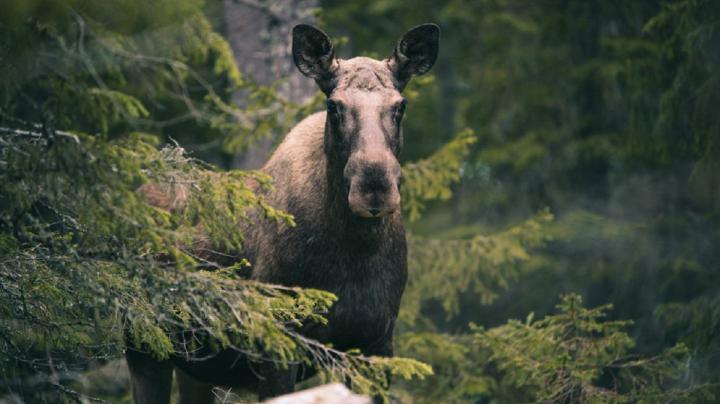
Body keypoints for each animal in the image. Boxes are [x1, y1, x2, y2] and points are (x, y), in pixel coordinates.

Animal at [125, 23, 440, 403]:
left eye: (400, 106)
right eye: (333, 106)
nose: (374, 184)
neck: (355, 250)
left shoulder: (376, 346)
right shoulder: (277, 345)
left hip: (196, 366)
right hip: (144, 346)